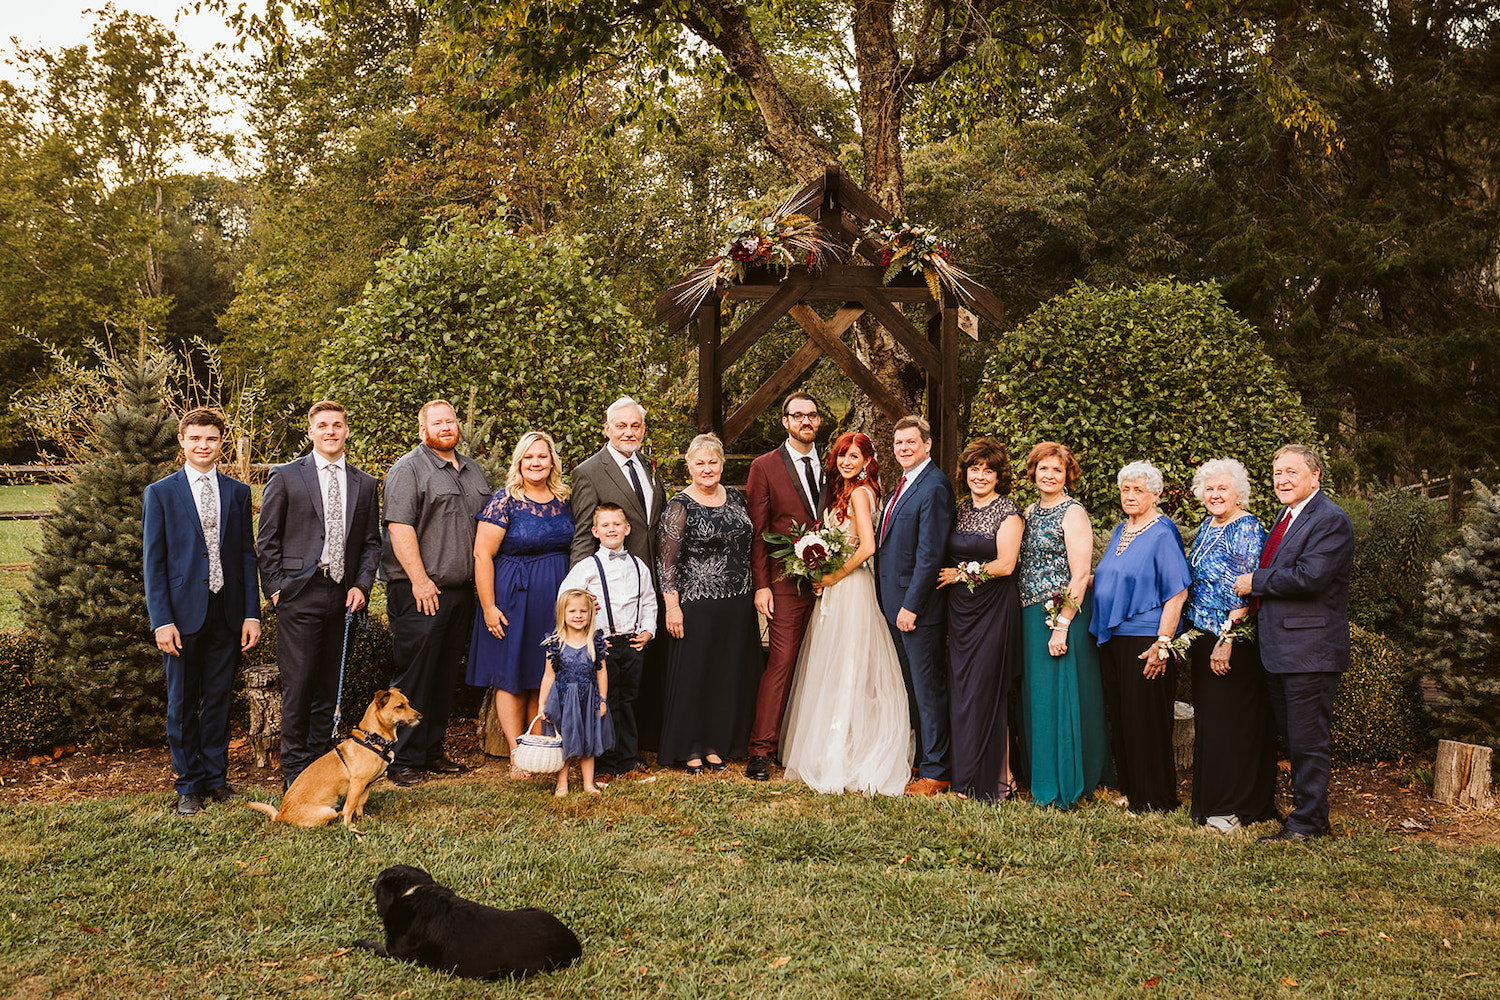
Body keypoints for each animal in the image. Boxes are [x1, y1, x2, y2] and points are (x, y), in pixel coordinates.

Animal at [246, 689, 420, 827]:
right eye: (400, 706)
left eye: (408, 703)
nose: (421, 716)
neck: (373, 739)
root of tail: (280, 814)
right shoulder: (356, 784)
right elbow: (350, 806)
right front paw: (349, 827)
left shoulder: (366, 785)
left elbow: (360, 804)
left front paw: (362, 819)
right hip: (327, 811)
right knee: (333, 815)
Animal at [354, 863, 582, 983]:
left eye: (376, 884)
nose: (371, 881)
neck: (412, 892)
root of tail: (574, 944)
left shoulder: (395, 951)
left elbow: (373, 945)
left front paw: (358, 941)